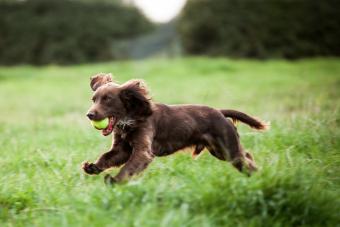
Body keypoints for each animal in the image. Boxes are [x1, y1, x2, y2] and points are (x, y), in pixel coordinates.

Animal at [82, 73, 268, 184]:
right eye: (94, 99)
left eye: (107, 99)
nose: (89, 115)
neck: (131, 118)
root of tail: (220, 112)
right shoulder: (122, 149)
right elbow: (107, 157)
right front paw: (93, 167)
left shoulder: (143, 151)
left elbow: (128, 167)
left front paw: (114, 180)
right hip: (220, 151)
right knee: (246, 156)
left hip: (227, 148)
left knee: (245, 159)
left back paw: (259, 177)